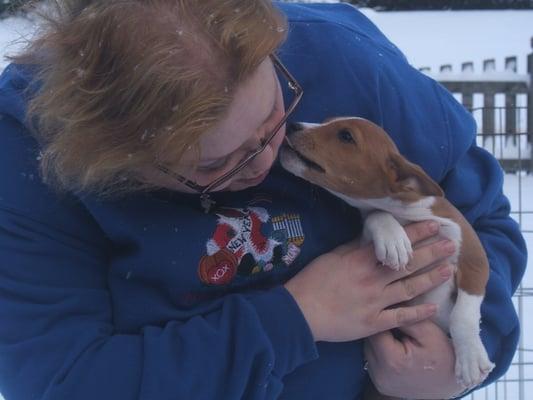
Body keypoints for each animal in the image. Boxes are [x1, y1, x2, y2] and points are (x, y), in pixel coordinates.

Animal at [278, 116, 494, 396]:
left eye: (346, 136)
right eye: (326, 122)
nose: (292, 124)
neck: (408, 214)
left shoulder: (474, 258)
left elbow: (463, 314)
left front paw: (470, 357)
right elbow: (376, 215)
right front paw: (393, 239)